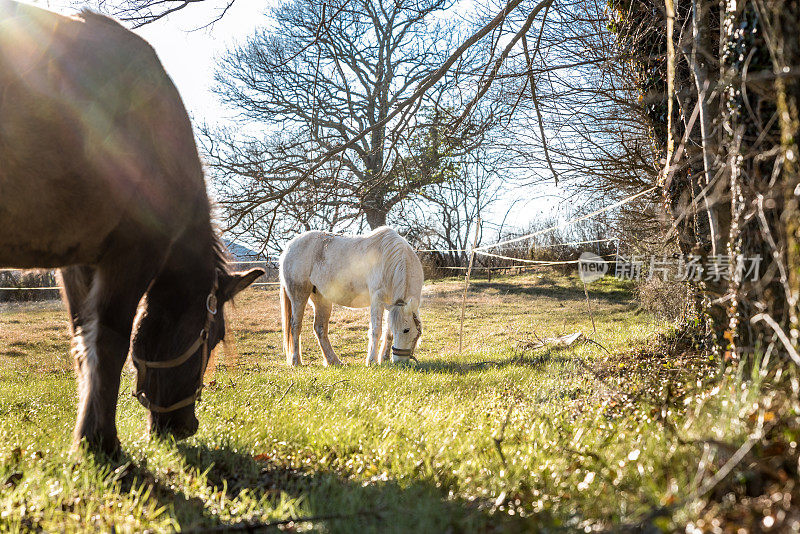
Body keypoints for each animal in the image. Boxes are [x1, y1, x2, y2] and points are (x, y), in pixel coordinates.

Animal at [0, 2, 264, 454]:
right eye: (212, 336)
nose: (184, 425)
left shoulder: (78, 261)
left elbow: (82, 339)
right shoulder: (132, 250)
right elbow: (110, 339)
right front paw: (99, 442)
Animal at [278, 226, 422, 368]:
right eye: (406, 330)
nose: (400, 361)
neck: (390, 259)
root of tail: (289, 247)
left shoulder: (390, 303)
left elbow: (387, 332)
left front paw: (384, 358)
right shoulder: (377, 299)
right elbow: (376, 330)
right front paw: (372, 361)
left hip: (321, 299)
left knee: (320, 328)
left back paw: (333, 361)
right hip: (299, 296)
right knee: (295, 326)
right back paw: (296, 361)